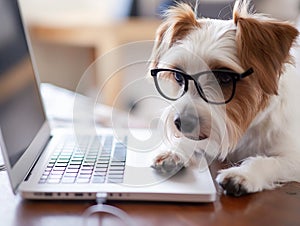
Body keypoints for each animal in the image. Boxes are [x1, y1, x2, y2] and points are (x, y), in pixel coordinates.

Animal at [149, 0, 300, 196]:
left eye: (225, 77)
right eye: (179, 77)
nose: (182, 123)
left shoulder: (293, 156)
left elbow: (268, 162)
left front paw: (243, 174)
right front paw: (174, 150)